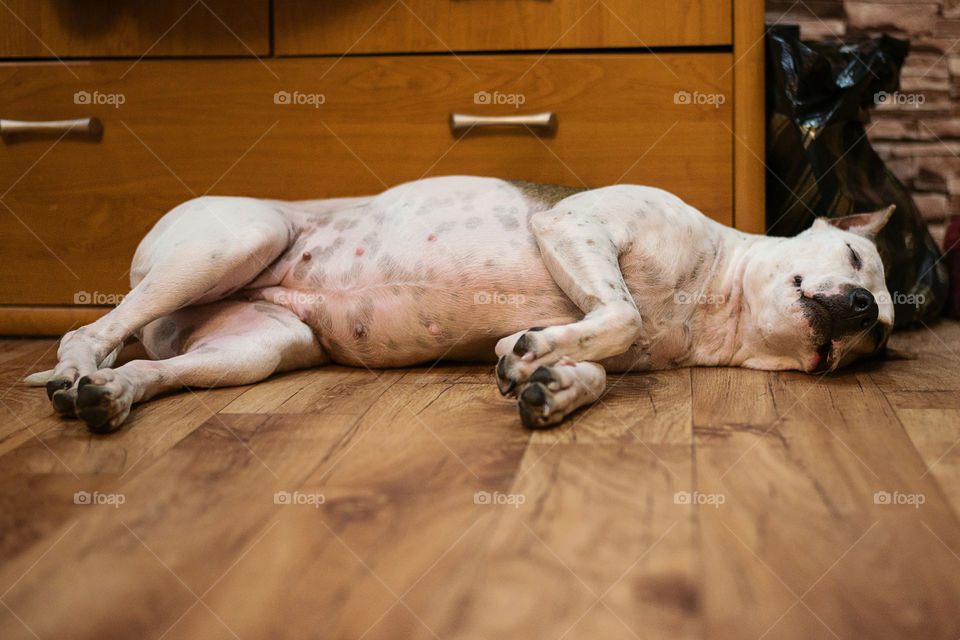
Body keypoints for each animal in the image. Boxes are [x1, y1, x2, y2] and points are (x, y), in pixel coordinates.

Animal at [26, 178, 896, 432]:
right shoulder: (575, 225)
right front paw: (535, 358)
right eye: (858, 260)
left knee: (154, 369)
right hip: (234, 239)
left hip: (255, 349)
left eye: (874, 344)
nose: (862, 309)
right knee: (92, 330)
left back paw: (109, 395)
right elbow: (620, 315)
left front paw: (549, 383)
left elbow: (598, 353)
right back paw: (75, 371)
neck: (712, 302)